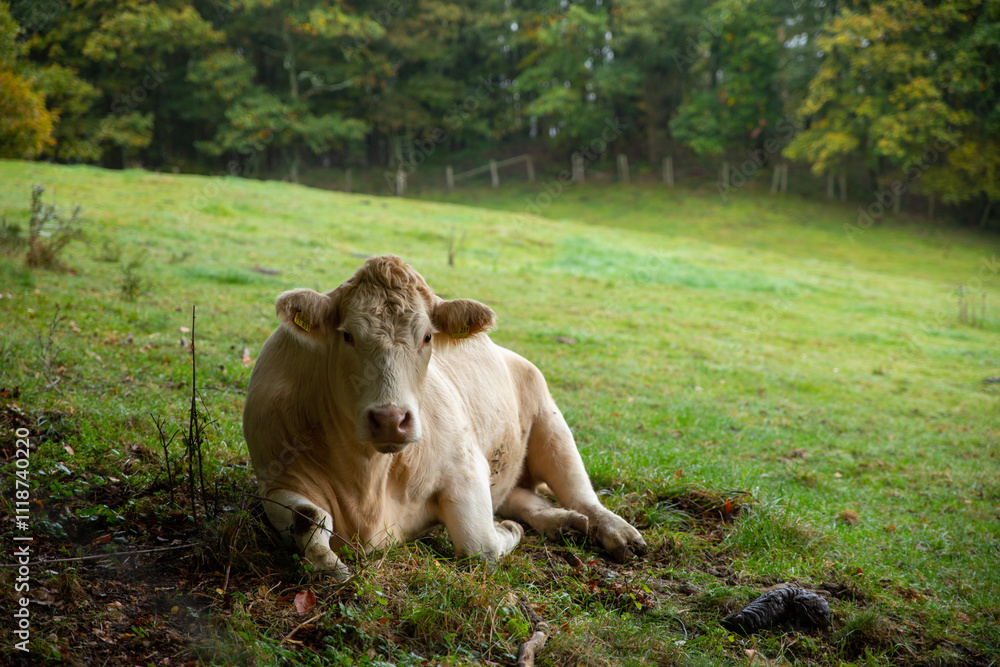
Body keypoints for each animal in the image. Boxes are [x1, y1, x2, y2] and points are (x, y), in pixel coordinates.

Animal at [243, 255, 644, 580]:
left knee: (580, 493)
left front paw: (507, 532)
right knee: (524, 498)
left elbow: (479, 545)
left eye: (427, 337)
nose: (390, 419)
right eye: (347, 336)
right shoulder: (277, 480)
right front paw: (327, 564)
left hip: (551, 420)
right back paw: (562, 523)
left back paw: (617, 532)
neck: (366, 482)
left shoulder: (465, 468)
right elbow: (309, 521)